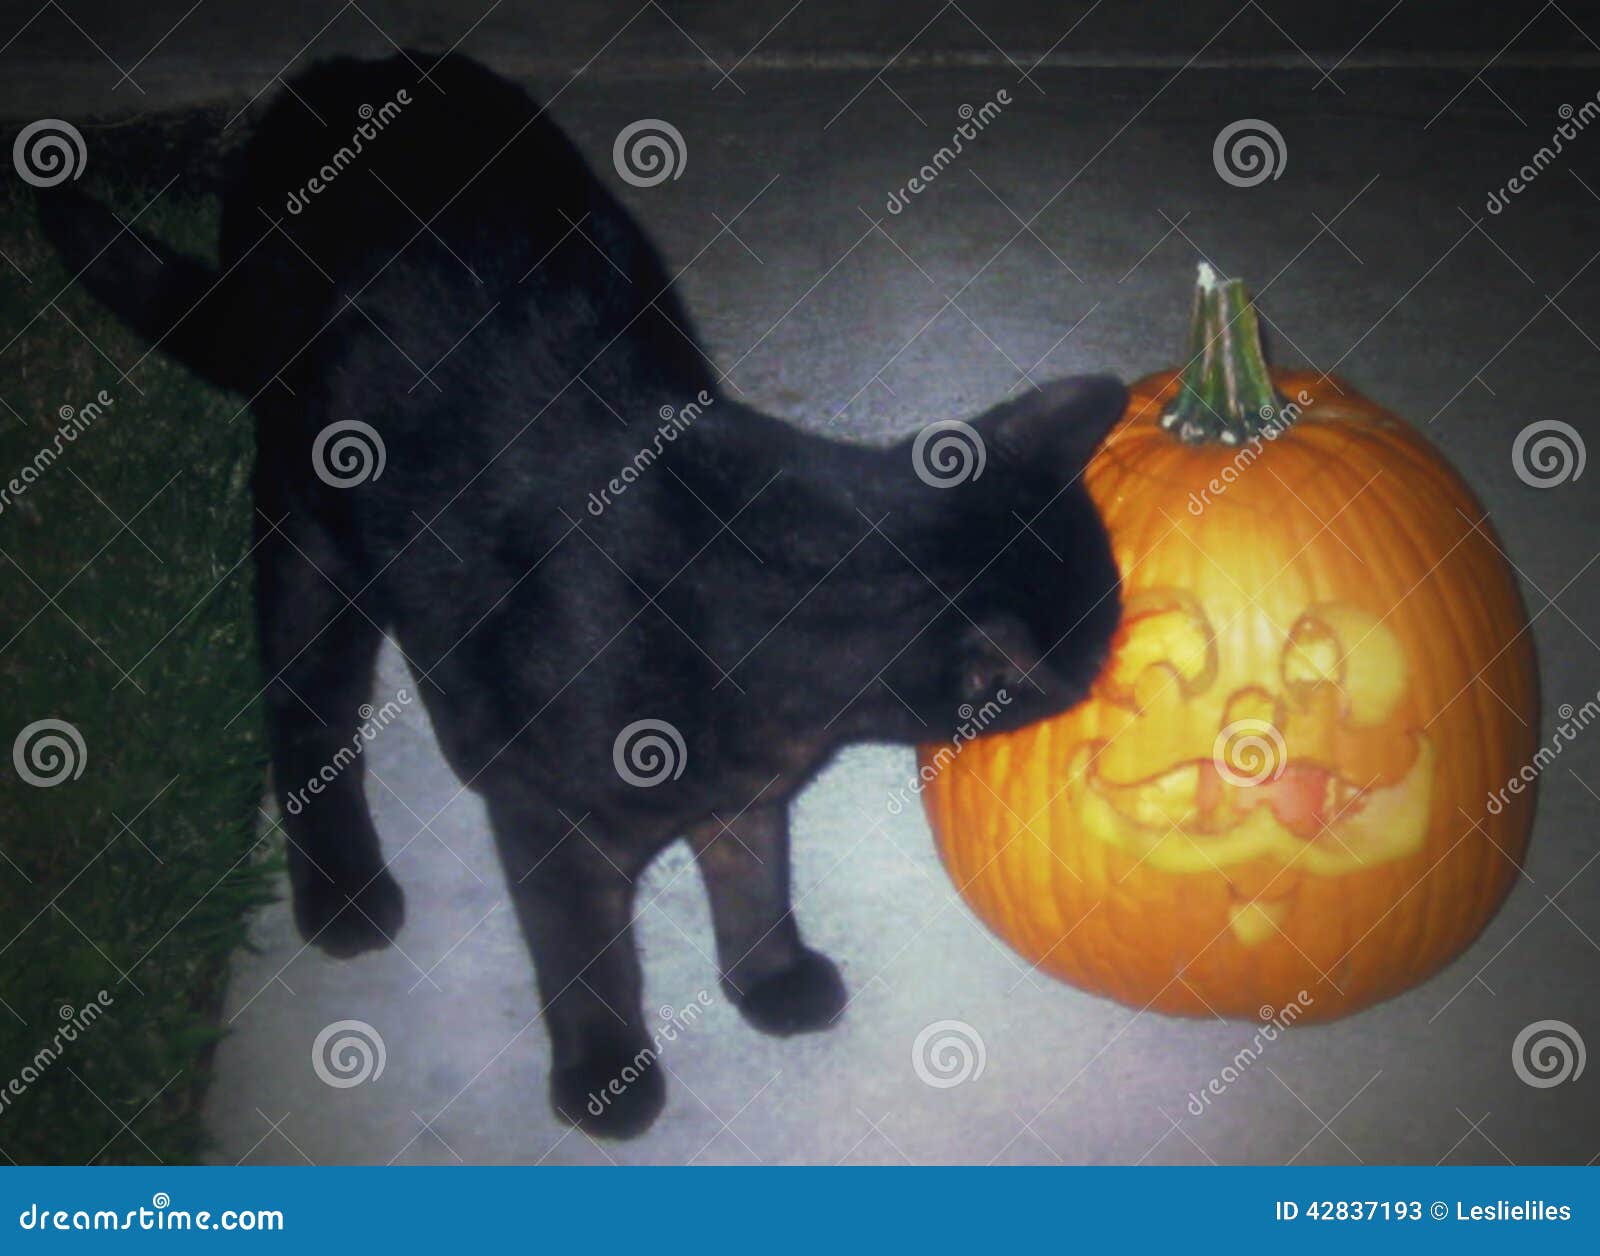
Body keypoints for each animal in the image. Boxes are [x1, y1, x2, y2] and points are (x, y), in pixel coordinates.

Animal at [43, 54, 1132, 1139]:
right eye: (1085, 665)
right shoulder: (549, 824)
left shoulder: (743, 790)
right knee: (307, 704)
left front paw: (770, 977)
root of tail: (347, 70)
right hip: (309, 529)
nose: (1106, 675)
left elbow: (753, 872)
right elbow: (586, 960)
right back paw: (343, 890)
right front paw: (606, 1076)